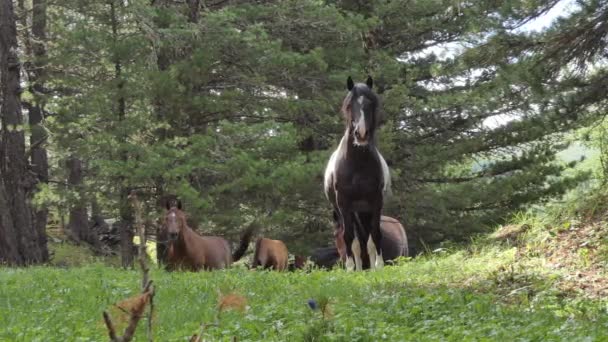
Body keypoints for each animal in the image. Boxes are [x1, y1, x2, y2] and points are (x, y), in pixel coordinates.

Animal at [324, 76, 390, 272]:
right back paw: (358, 269)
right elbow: (348, 237)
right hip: (350, 211)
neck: (357, 165)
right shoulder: (344, 204)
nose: (361, 134)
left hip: (363, 211)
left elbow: (375, 234)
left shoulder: (375, 202)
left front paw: (379, 266)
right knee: (354, 240)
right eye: (348, 105)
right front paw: (350, 268)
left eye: (370, 103)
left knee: (366, 238)